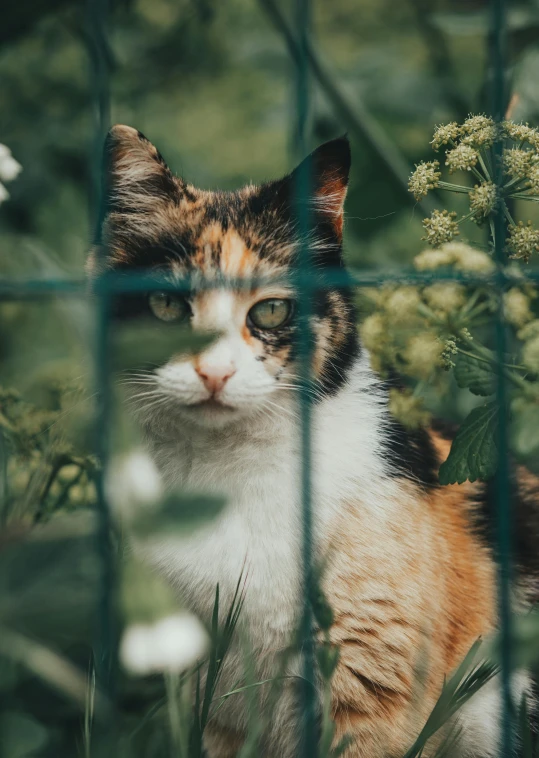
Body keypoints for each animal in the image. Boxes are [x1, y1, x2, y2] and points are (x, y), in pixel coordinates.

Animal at [88, 126, 539, 758]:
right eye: (166, 305)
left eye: (273, 309)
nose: (214, 373)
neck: (230, 475)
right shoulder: (218, 706)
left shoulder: (369, 686)